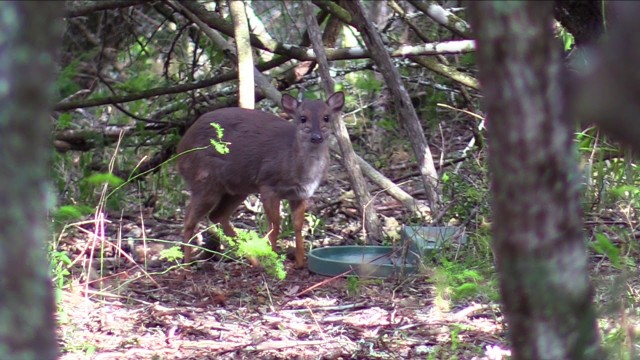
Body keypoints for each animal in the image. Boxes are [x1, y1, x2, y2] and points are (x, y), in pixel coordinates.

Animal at [175, 93, 344, 268]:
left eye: (326, 117)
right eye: (303, 118)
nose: (316, 137)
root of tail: (179, 151)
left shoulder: (301, 194)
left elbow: (298, 226)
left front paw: (300, 262)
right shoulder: (268, 184)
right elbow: (275, 225)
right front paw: (274, 261)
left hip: (237, 188)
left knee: (217, 215)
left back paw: (255, 263)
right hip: (204, 180)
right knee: (189, 219)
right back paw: (185, 266)